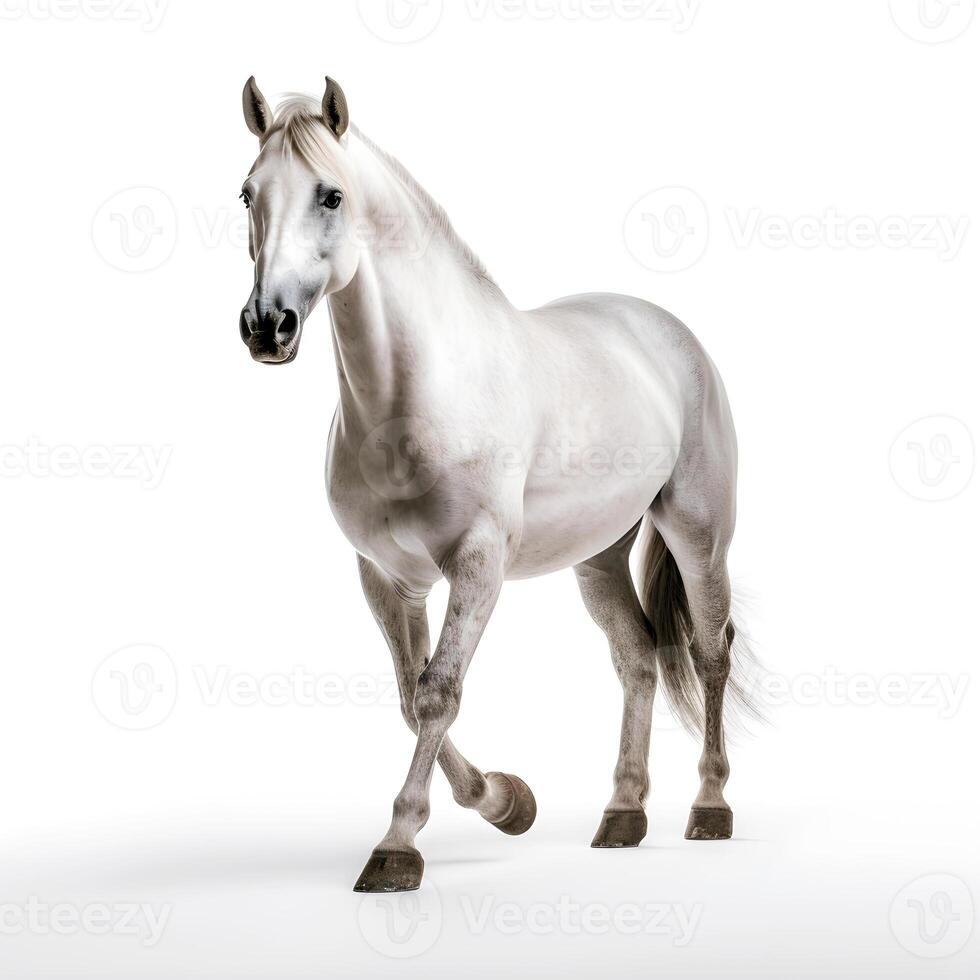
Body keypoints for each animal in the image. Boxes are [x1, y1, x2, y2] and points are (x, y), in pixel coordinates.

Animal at [237, 72, 756, 892]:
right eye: (246, 193)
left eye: (331, 194)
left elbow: (438, 692)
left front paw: (398, 847)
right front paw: (508, 802)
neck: (417, 394)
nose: (268, 326)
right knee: (638, 659)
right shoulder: (387, 576)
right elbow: (408, 695)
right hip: (597, 558)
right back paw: (623, 815)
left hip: (699, 538)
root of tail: (666, 329)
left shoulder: (478, 564)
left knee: (709, 652)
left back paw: (709, 807)